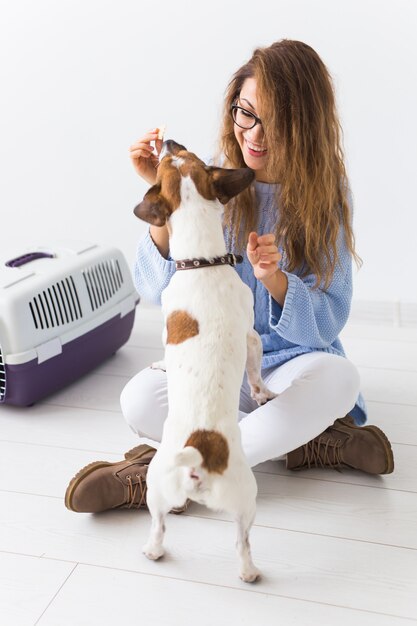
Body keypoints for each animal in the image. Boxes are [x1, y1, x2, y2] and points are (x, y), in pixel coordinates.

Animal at [134, 140, 276, 580]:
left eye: (179, 154)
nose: (168, 141)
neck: (202, 262)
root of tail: (199, 452)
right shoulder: (251, 338)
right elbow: (256, 372)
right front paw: (262, 393)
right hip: (245, 497)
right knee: (240, 540)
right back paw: (248, 571)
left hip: (164, 489)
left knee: (161, 526)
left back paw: (154, 552)